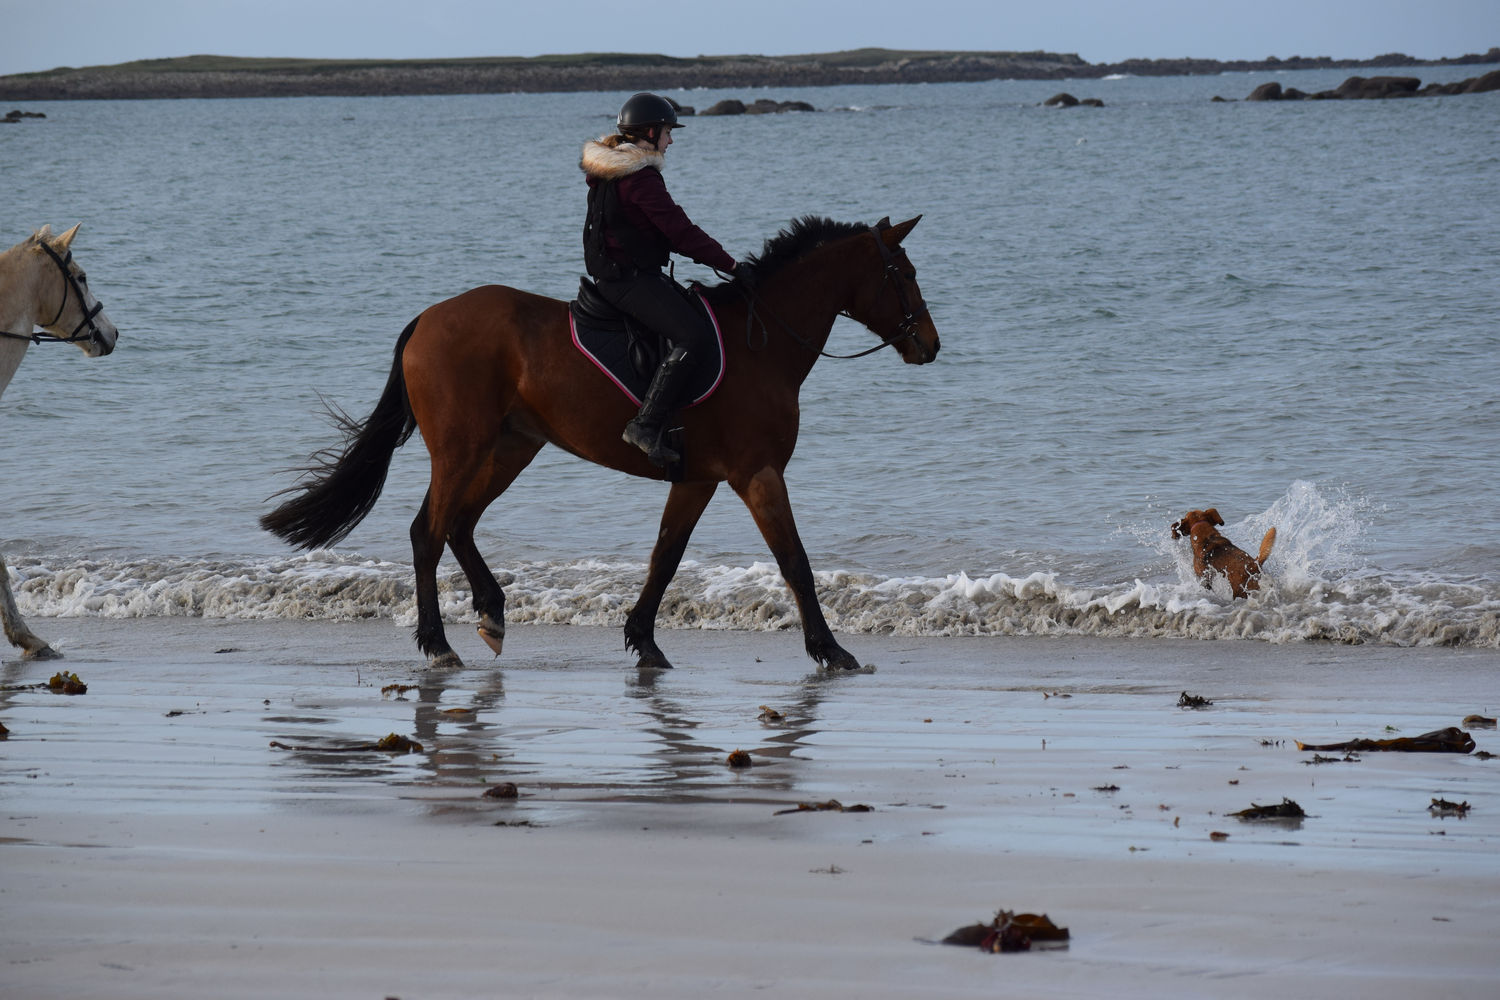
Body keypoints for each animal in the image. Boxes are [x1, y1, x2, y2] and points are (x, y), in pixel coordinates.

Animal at [258, 218, 936, 671]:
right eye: (903, 273)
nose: (930, 345)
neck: (760, 343)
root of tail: (427, 318)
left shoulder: (698, 478)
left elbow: (665, 556)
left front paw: (644, 640)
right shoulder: (757, 472)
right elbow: (794, 560)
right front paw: (830, 649)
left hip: (510, 448)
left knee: (460, 524)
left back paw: (491, 614)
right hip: (460, 448)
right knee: (429, 530)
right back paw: (439, 644)